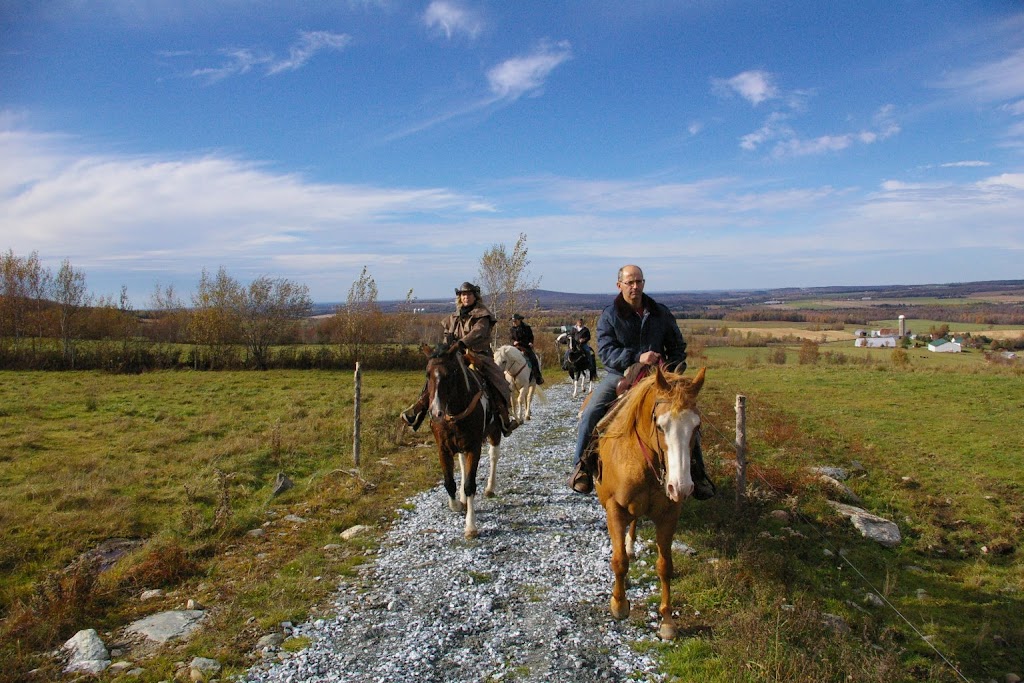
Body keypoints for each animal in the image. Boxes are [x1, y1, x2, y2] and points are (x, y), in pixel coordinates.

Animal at [417, 342, 501, 540]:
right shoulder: (443, 449)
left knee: (494, 457)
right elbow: (449, 483)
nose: (436, 413)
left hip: (494, 433)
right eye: (427, 374)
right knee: (462, 465)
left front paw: (470, 526)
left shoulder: (473, 448)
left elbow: (470, 484)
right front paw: (457, 505)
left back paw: (490, 488)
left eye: (450, 374)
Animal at [593, 366, 704, 638]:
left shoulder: (669, 514)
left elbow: (665, 566)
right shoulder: (614, 509)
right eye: (661, 425)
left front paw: (667, 620)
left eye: (696, 426)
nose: (680, 487)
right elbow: (619, 561)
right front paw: (619, 604)